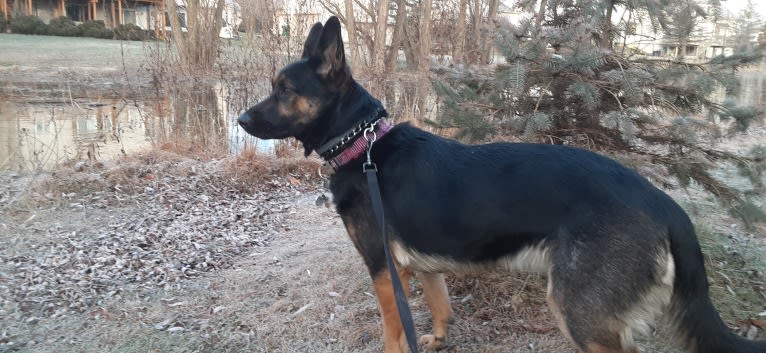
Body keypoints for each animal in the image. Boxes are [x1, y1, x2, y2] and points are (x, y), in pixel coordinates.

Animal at [237, 15, 764, 352]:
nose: (240, 119)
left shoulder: (385, 270)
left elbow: (393, 333)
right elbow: (441, 306)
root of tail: (665, 204)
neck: (362, 145)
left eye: (285, 90)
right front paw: (439, 339)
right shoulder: (421, 265)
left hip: (581, 315)